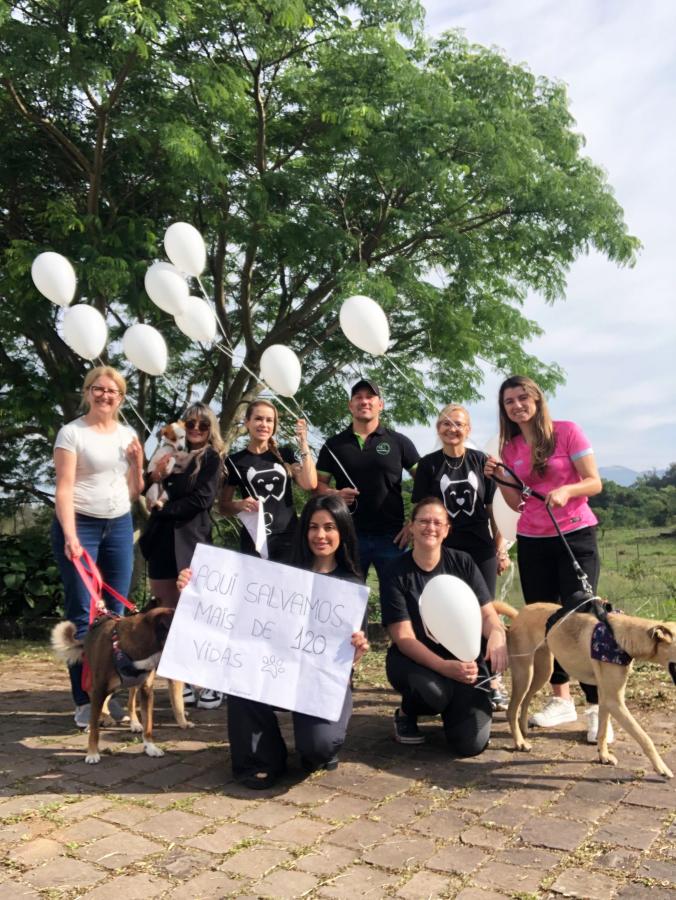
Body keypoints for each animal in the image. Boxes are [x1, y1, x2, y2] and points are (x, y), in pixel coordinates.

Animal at [51, 608, 181, 764]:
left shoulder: (146, 691)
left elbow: (148, 723)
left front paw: (150, 747)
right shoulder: (98, 689)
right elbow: (95, 727)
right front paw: (92, 753)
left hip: (130, 686)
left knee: (128, 704)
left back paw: (133, 723)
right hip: (91, 683)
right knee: (97, 707)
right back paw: (94, 723)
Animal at [496, 600, 676, 776]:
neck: (622, 637)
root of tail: (519, 614)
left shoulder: (605, 697)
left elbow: (602, 731)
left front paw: (603, 756)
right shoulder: (615, 701)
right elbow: (644, 737)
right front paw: (662, 768)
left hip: (543, 671)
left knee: (525, 700)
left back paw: (524, 730)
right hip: (524, 673)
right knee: (512, 709)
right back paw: (520, 742)